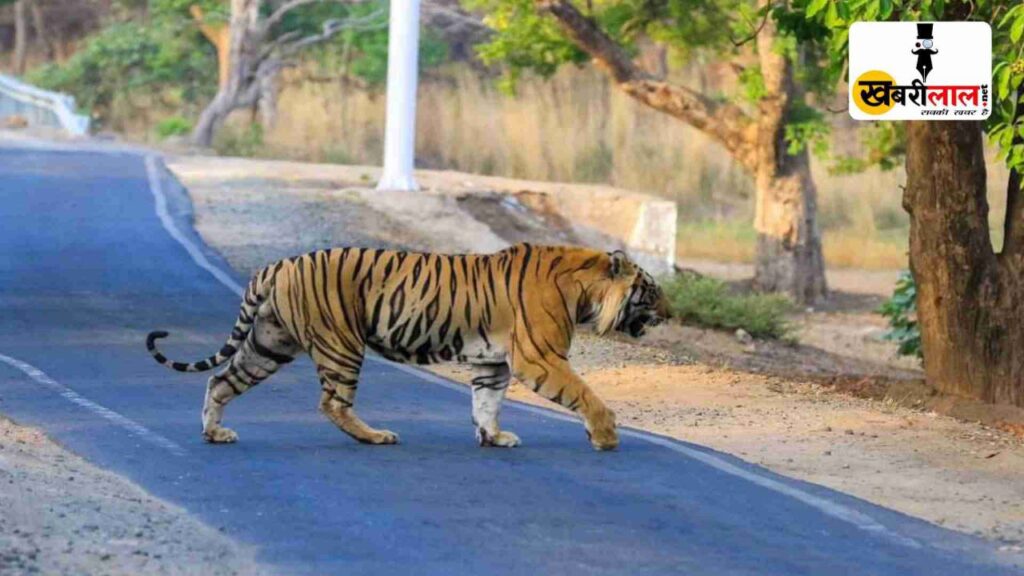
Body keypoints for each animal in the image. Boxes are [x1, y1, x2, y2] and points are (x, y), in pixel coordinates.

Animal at [146, 240, 671, 448]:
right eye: (652, 290)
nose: (671, 313)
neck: (584, 291)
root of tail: (279, 264)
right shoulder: (539, 358)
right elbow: (586, 394)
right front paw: (606, 436)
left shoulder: (495, 363)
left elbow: (487, 403)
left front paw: (493, 438)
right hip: (341, 344)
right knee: (332, 403)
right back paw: (375, 436)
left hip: (270, 342)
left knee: (221, 380)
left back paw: (215, 433)